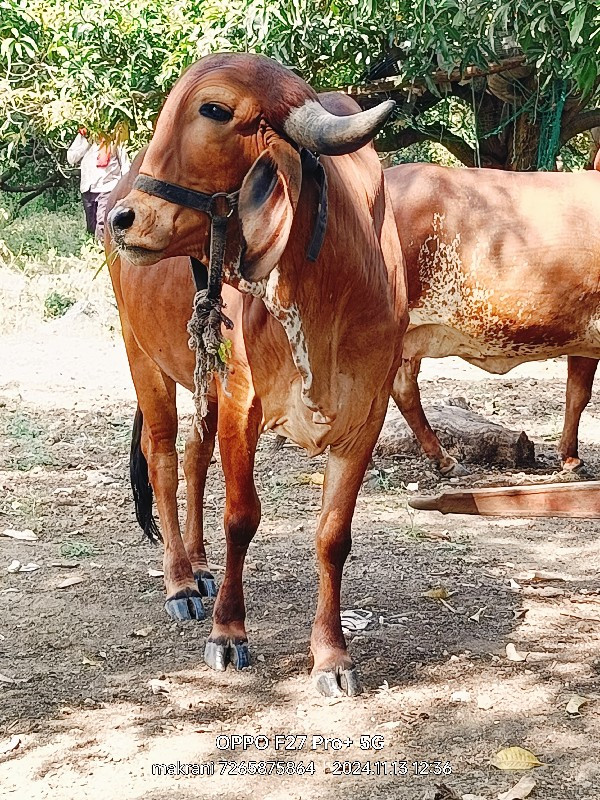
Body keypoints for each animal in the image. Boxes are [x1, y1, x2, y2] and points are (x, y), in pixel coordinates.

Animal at [106, 53, 408, 696]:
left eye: (215, 109)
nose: (123, 219)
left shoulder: (367, 415)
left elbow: (333, 537)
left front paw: (331, 655)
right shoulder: (243, 400)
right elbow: (241, 518)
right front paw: (228, 633)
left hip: (203, 382)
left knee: (194, 459)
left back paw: (200, 565)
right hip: (142, 357)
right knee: (163, 458)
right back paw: (180, 581)